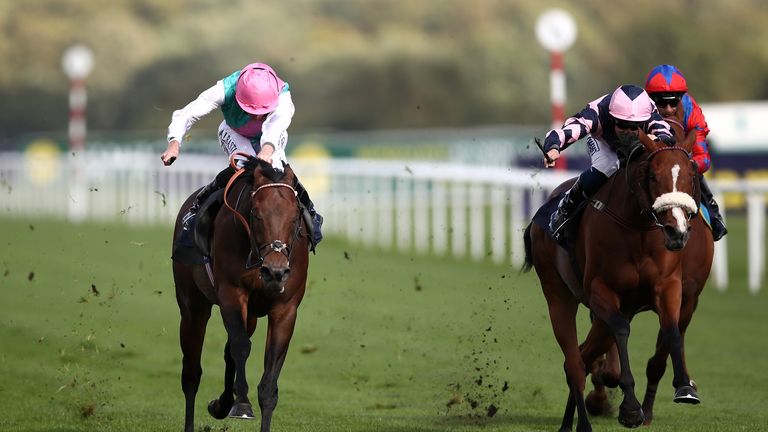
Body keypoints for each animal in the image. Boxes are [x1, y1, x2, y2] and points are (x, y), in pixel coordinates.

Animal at [171, 156, 308, 432]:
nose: (275, 272)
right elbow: (241, 346)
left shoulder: (285, 309)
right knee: (191, 373)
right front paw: (242, 405)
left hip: (252, 315)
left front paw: (233, 403)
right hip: (193, 306)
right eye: (256, 213)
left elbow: (268, 382)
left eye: (295, 215)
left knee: (228, 350)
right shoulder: (231, 295)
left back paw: (221, 404)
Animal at [520, 130, 708, 430]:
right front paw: (630, 408)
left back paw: (572, 420)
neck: (637, 229)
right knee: (574, 362)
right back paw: (582, 423)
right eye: (653, 176)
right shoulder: (601, 291)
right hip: (558, 295)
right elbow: (621, 329)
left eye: (691, 175)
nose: (677, 231)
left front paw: (685, 387)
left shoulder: (670, 287)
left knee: (583, 356)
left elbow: (671, 329)